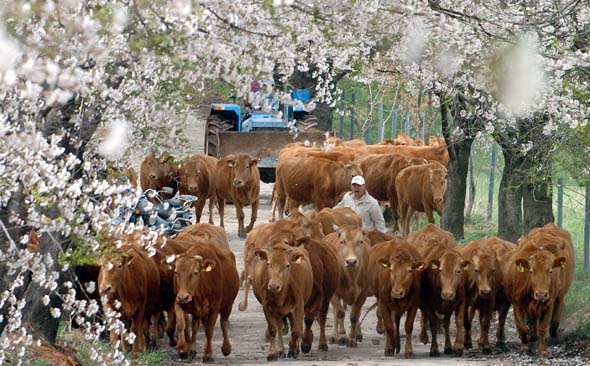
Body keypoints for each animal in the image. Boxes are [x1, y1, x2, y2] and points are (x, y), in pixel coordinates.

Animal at [410, 224, 470, 356]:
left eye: (458, 271)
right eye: (440, 270)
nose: (447, 294)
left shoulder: (460, 301)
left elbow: (457, 321)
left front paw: (456, 346)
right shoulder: (428, 304)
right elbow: (432, 322)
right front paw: (434, 348)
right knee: (424, 316)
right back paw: (423, 336)